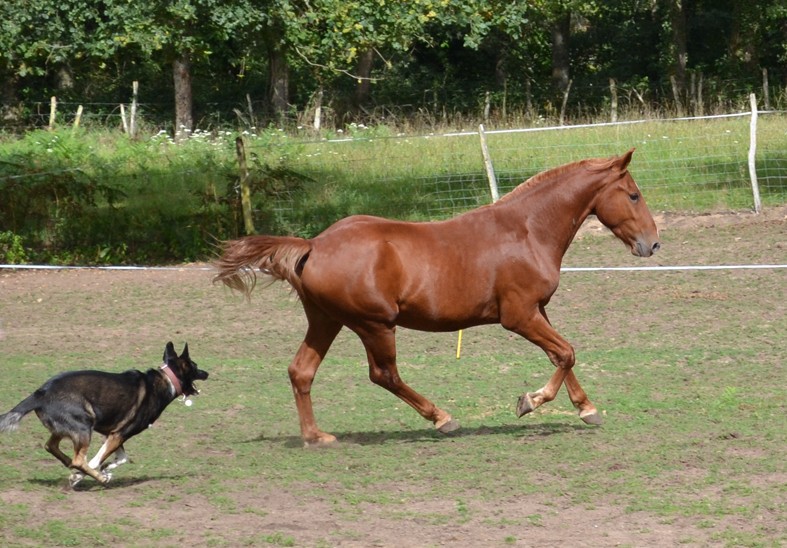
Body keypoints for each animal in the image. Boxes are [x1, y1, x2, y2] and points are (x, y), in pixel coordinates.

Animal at [0, 342, 209, 488]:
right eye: (195, 366)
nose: (207, 373)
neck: (166, 380)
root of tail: (41, 393)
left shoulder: (114, 434)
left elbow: (120, 458)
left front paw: (102, 469)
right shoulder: (120, 434)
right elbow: (95, 461)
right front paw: (92, 474)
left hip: (65, 428)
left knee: (51, 447)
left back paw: (73, 466)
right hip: (84, 425)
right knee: (78, 459)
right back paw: (98, 477)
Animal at [214, 149, 660, 446]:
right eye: (634, 195)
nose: (652, 244)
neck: (527, 229)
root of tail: (313, 245)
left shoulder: (538, 311)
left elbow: (562, 356)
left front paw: (586, 409)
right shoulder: (518, 315)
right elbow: (566, 353)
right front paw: (529, 402)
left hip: (327, 321)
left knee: (301, 371)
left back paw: (316, 436)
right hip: (374, 325)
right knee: (384, 375)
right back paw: (442, 418)